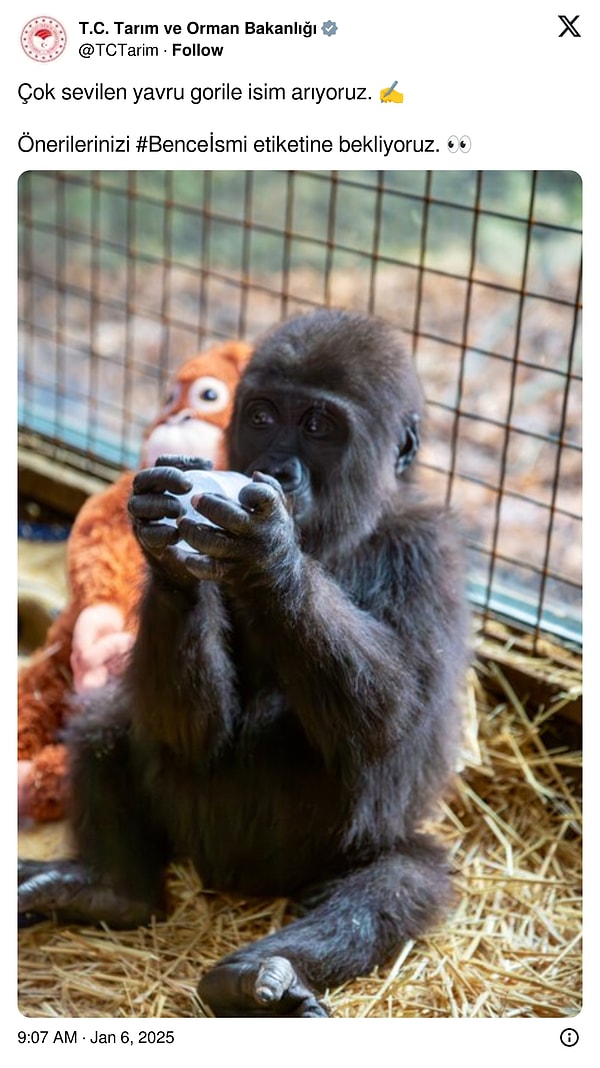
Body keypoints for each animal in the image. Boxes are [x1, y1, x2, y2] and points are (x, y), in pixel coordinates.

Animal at [17, 309, 467, 1016]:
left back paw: (263, 973)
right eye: (260, 417)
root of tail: (234, 884)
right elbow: (188, 728)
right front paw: (166, 553)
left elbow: (392, 720)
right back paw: (109, 889)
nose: (276, 468)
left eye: (317, 426)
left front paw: (270, 553)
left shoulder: (428, 551)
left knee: (404, 878)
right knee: (107, 723)